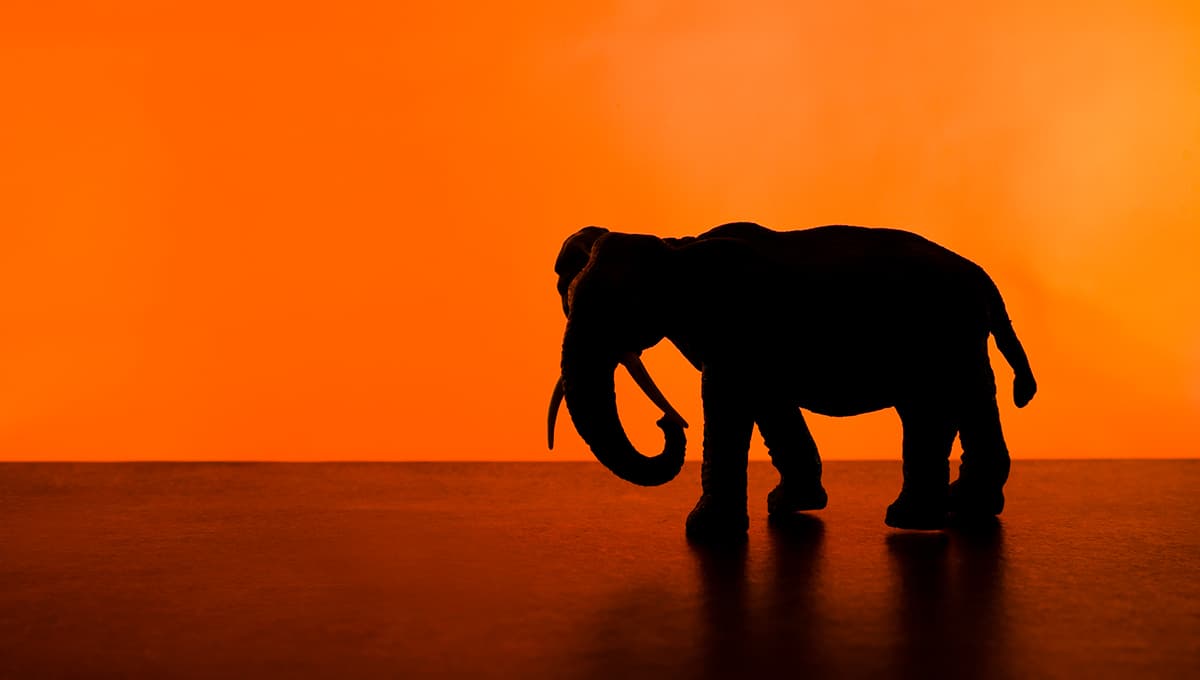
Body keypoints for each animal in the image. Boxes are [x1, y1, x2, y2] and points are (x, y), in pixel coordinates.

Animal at [547, 222, 1036, 536]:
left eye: (626, 305)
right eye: (566, 299)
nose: (667, 423)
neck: (676, 249)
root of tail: (983, 277)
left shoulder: (736, 329)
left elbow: (728, 402)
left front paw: (706, 531)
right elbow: (769, 403)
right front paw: (788, 504)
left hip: (935, 334)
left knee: (929, 409)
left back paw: (911, 519)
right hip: (962, 340)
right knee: (974, 402)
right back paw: (969, 507)